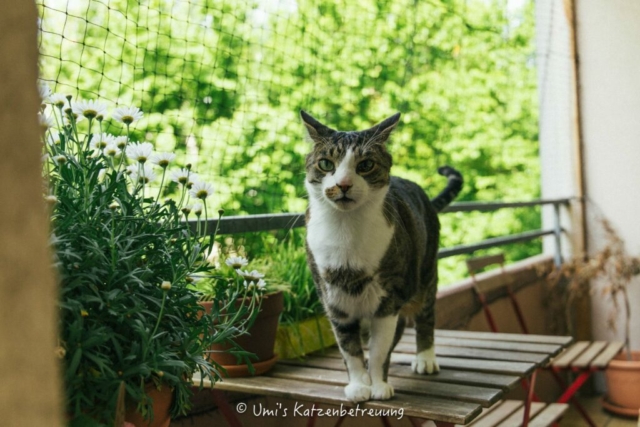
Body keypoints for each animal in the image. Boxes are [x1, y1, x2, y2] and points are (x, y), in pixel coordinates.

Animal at [302, 111, 462, 404]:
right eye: (325, 163)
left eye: (365, 165)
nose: (343, 184)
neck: (346, 232)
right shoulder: (333, 298)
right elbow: (349, 347)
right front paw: (358, 384)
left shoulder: (389, 296)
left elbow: (378, 348)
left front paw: (378, 384)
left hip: (425, 274)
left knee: (425, 316)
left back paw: (425, 359)